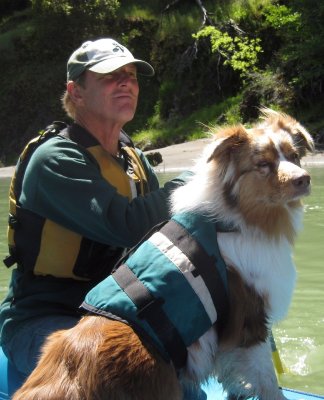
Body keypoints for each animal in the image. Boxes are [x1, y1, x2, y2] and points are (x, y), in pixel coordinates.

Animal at [13, 108, 314, 398]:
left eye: (294, 156)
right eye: (263, 164)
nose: (304, 179)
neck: (234, 220)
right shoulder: (251, 325)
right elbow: (269, 383)